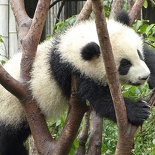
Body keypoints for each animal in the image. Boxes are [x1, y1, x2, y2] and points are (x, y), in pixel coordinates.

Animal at [0, 11, 155, 154]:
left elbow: (150, 56)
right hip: (9, 112)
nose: (144, 76)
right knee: (7, 140)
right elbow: (101, 99)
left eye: (139, 54)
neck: (67, 48)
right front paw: (139, 110)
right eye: (124, 64)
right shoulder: (74, 74)